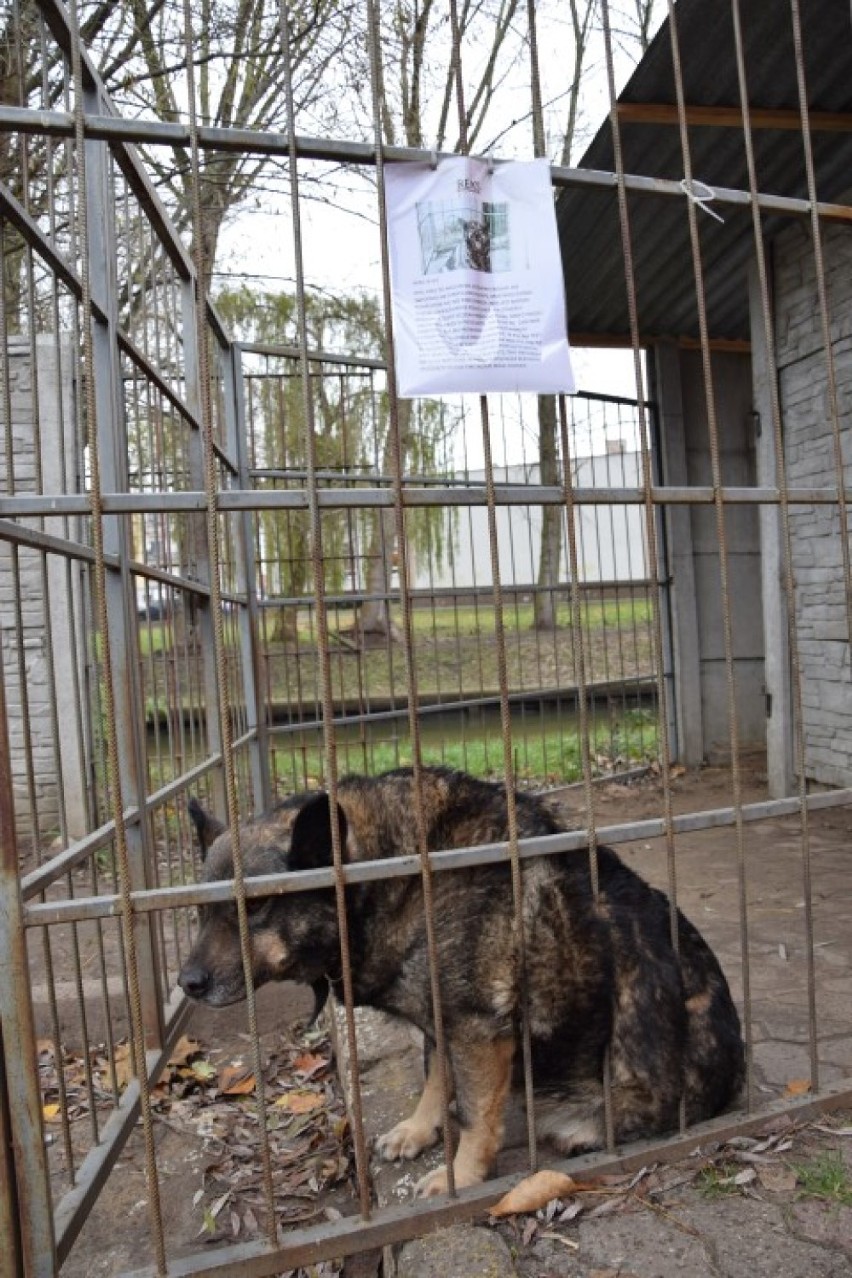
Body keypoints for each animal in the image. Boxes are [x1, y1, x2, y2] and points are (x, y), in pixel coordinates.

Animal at [180, 766, 745, 1196]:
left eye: (256, 908)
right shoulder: (443, 1024)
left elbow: (475, 1115)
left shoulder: (478, 1033)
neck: (393, 875)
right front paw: (418, 1130)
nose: (188, 983)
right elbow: (436, 1080)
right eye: (201, 911)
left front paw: (463, 1177)